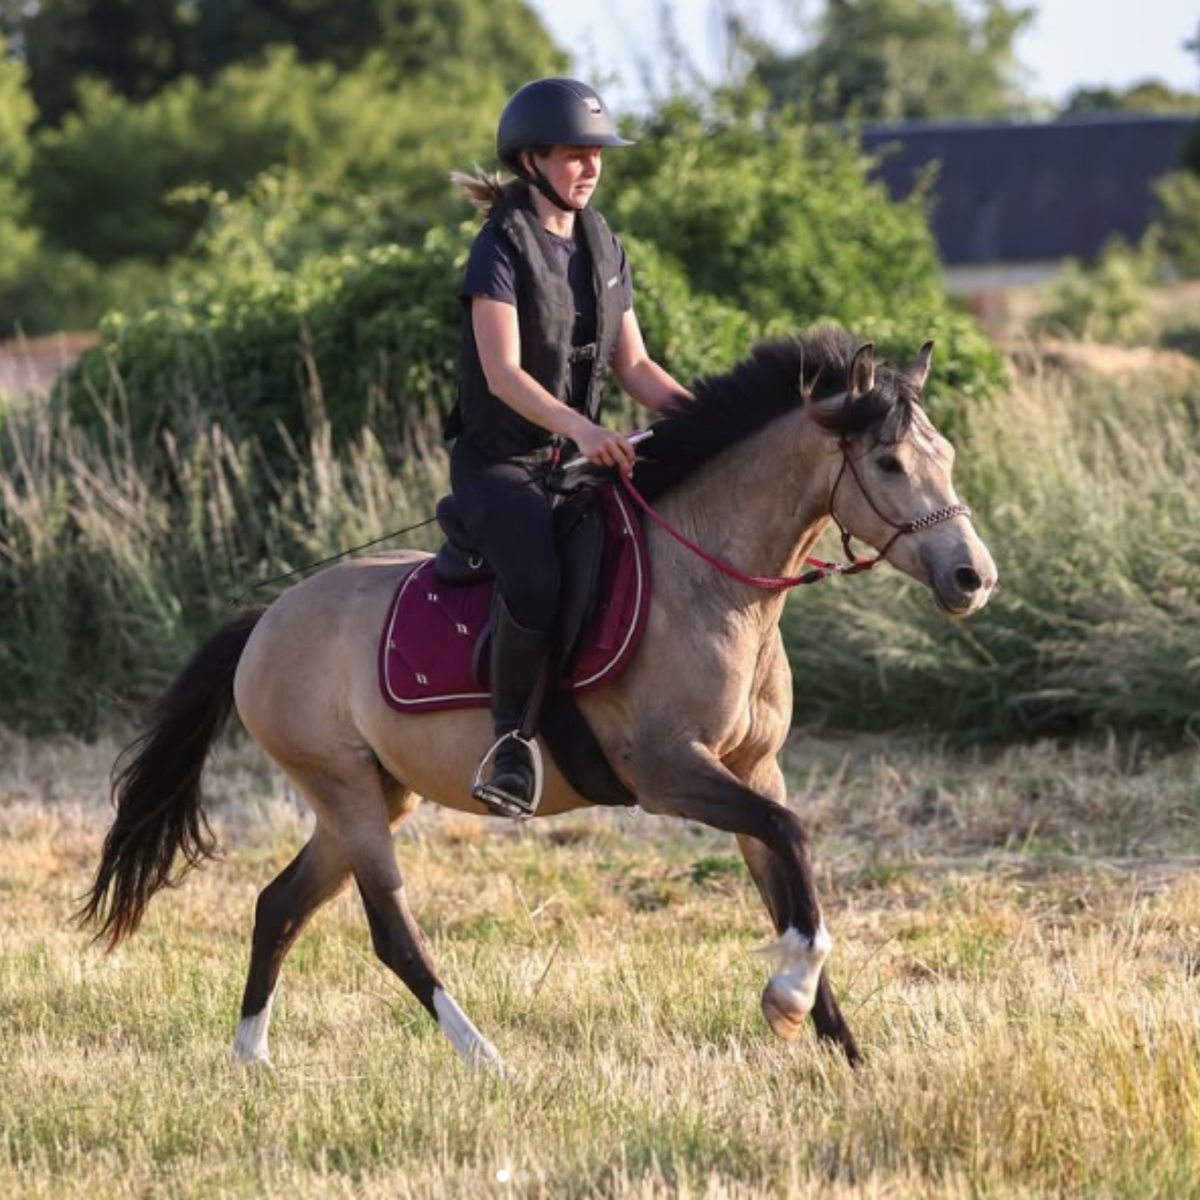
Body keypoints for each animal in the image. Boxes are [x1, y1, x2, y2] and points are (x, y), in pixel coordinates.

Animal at [78, 328, 997, 1072]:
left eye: (947, 455)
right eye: (888, 464)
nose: (972, 578)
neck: (712, 586)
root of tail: (267, 618)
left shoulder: (753, 769)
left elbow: (791, 877)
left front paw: (846, 1054)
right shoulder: (670, 773)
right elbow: (793, 842)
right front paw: (787, 999)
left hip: (370, 795)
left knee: (279, 906)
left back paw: (252, 1061)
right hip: (346, 793)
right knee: (390, 933)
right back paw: (485, 1058)